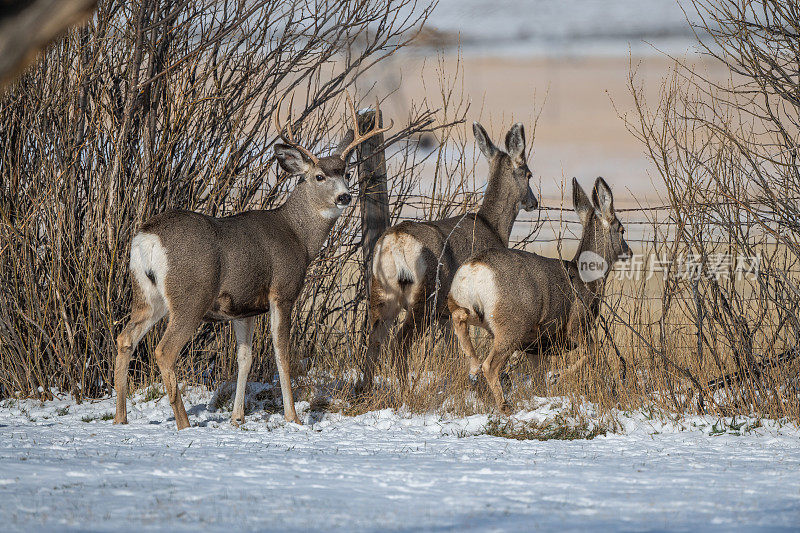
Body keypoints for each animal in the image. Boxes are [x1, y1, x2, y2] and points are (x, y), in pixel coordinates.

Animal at [114, 94, 392, 428]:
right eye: (319, 176)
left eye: (347, 173)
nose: (344, 197)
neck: (298, 236)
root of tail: (147, 236)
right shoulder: (282, 292)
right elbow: (282, 354)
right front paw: (293, 417)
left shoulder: (242, 306)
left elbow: (244, 359)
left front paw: (236, 418)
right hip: (191, 293)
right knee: (164, 351)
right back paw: (183, 424)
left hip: (147, 293)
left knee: (125, 338)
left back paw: (120, 419)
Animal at [362, 121, 536, 390]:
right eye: (528, 174)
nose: (534, 202)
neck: (492, 226)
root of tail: (396, 241)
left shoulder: (447, 313)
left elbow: (454, 349)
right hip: (425, 295)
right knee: (399, 343)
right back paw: (406, 391)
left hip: (381, 290)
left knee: (374, 340)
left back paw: (364, 390)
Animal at [446, 177, 628, 414]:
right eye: (622, 230)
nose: (628, 251)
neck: (587, 279)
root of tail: (474, 269)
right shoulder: (577, 325)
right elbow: (591, 354)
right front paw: (556, 376)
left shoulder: (536, 346)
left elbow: (539, 379)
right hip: (512, 323)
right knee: (491, 365)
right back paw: (504, 405)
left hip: (465, 305)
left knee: (459, 317)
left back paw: (473, 366)